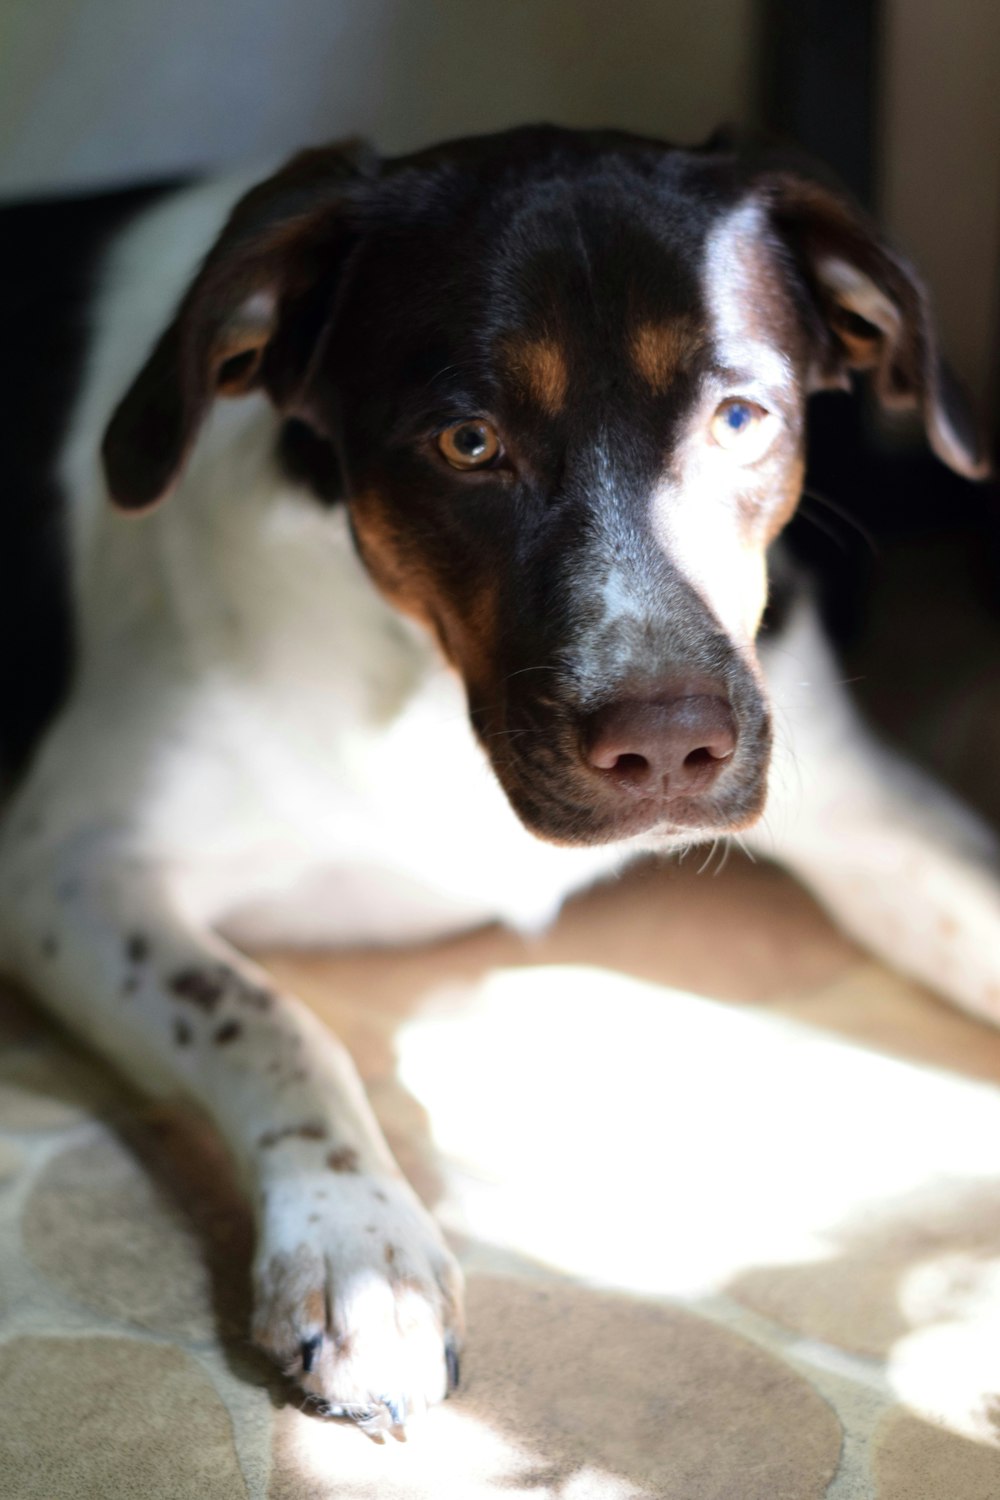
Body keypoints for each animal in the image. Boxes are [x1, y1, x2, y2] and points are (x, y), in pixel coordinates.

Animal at [0, 126, 995, 1428]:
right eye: (466, 442)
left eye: (739, 418)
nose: (669, 749)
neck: (425, 680)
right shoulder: (68, 866)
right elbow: (268, 1017)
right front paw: (355, 1239)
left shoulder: (879, 818)